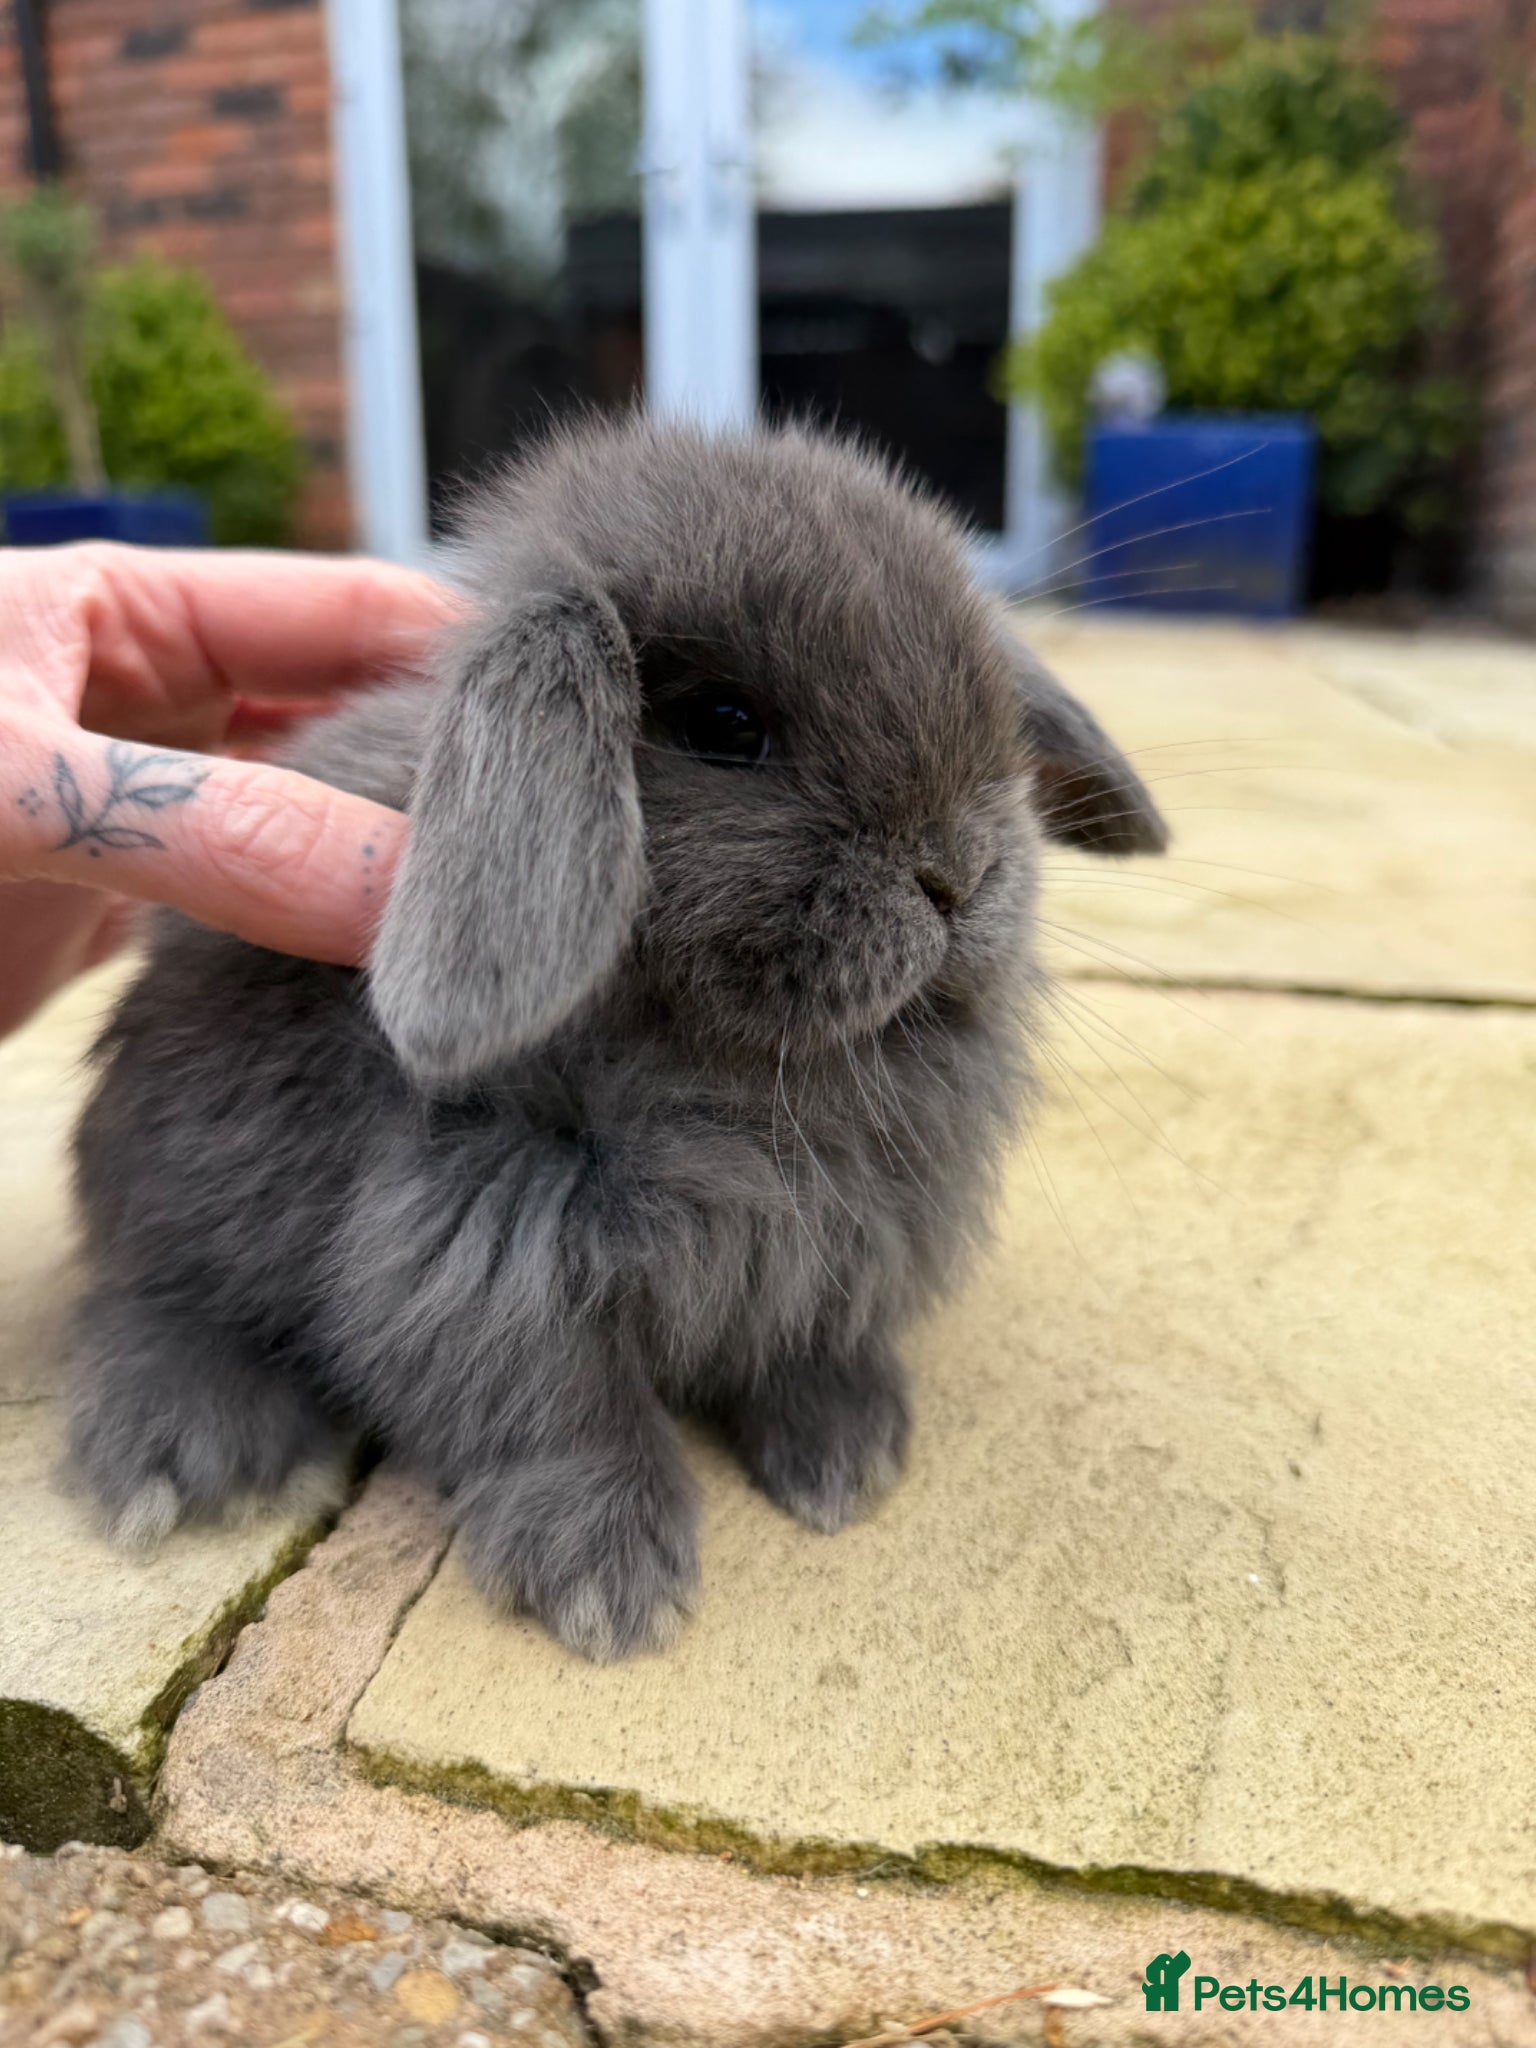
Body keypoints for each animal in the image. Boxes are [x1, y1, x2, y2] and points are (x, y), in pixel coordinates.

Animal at [67, 416, 1165, 1661]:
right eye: (725, 725)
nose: (960, 873)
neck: (749, 1072)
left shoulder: (826, 1246)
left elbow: (808, 1343)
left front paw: (849, 1460)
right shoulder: (488, 1242)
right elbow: (562, 1408)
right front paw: (611, 1587)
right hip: (184, 1176)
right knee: (150, 1293)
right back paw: (187, 1456)